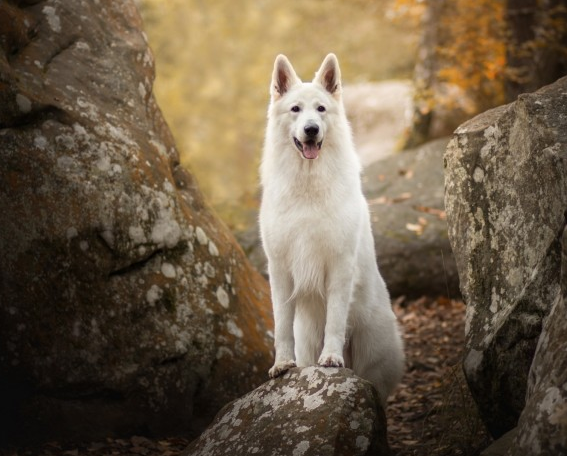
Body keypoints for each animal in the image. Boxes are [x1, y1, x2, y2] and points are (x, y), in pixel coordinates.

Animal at [260, 51, 406, 404]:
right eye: (295, 109)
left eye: (321, 109)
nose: (311, 129)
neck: (307, 185)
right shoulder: (280, 270)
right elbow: (281, 325)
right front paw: (281, 364)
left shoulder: (339, 266)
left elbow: (335, 321)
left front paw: (331, 358)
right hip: (307, 339)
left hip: (371, 353)